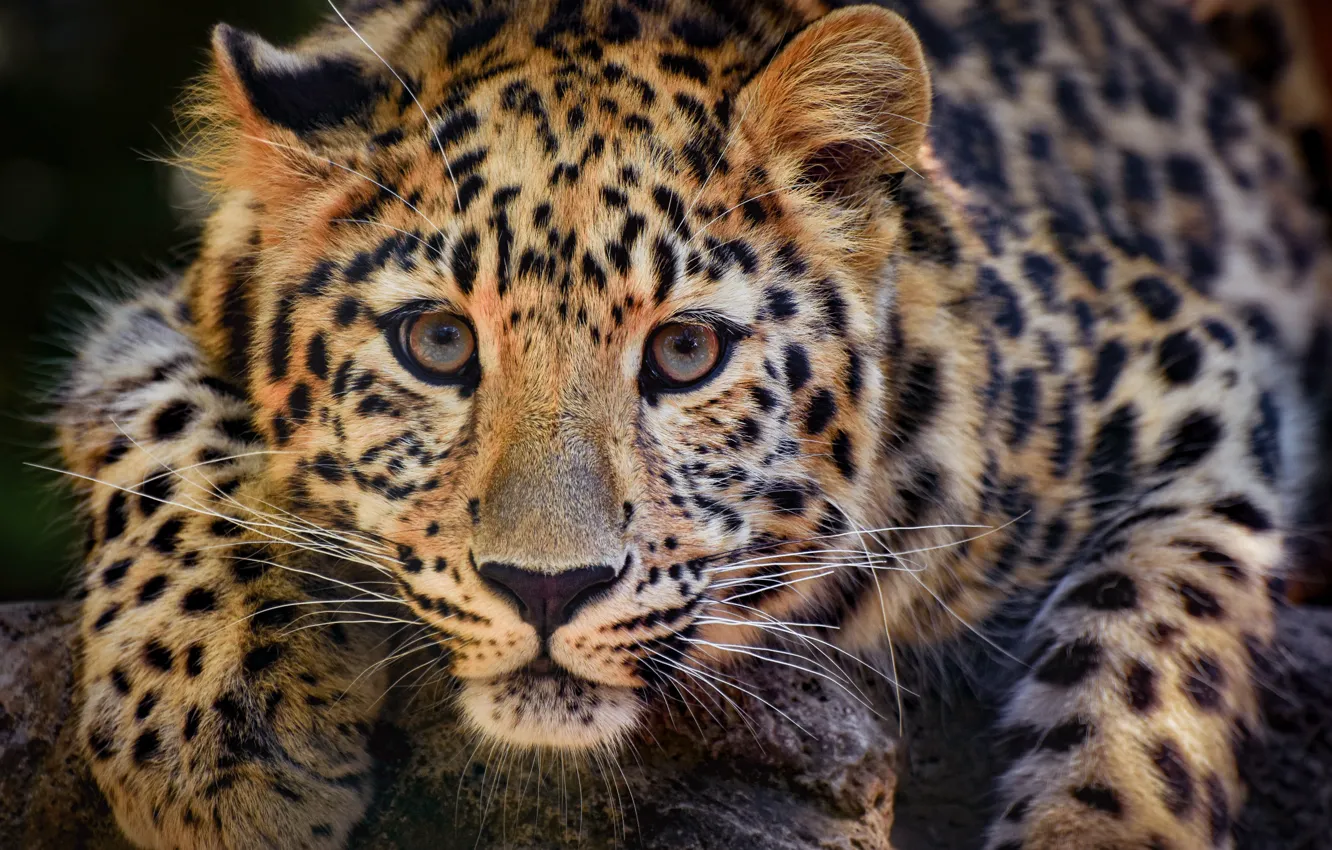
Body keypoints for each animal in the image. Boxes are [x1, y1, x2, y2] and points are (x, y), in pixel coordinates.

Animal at [52, 0, 1332, 848]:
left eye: (684, 353)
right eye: (439, 344)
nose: (547, 589)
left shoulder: (1186, 365)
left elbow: (1152, 660)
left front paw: (1103, 820)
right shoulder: (158, 318)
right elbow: (162, 434)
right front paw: (212, 734)